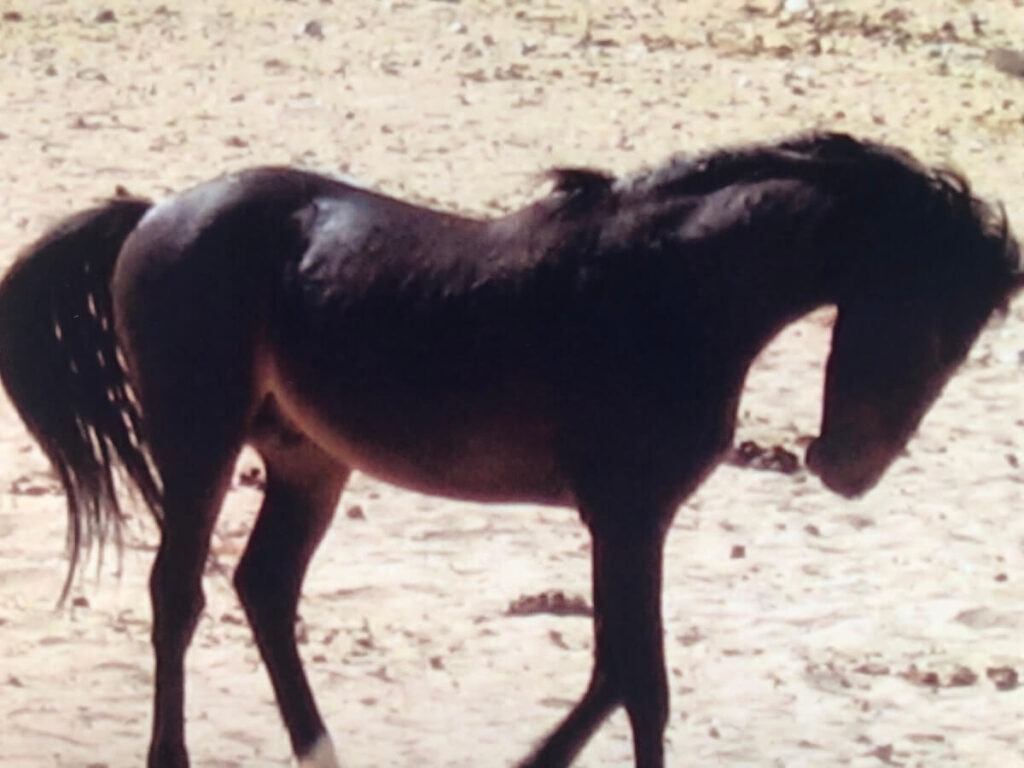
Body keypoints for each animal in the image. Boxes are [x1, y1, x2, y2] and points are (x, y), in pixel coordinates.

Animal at [0, 132, 1019, 768]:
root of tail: (153, 212)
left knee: (265, 589)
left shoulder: (630, 522)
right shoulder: (627, 515)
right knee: (180, 594)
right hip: (200, 441)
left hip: (307, 461)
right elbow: (639, 681)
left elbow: (616, 674)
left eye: (966, 341)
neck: (667, 288)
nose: (844, 469)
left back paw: (322, 752)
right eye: (928, 320)